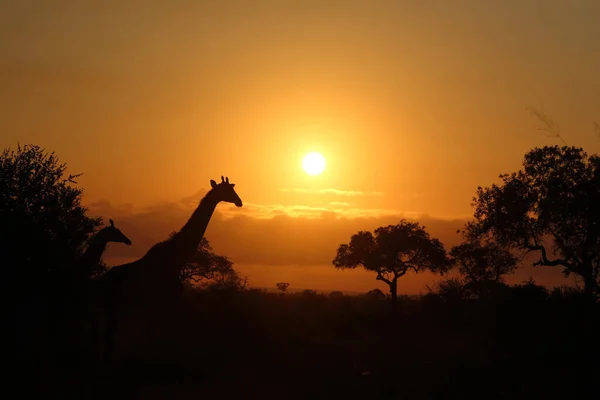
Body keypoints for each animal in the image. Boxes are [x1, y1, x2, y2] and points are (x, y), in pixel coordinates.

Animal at [96, 177, 241, 364]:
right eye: (229, 190)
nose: (239, 201)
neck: (176, 259)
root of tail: (102, 281)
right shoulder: (163, 302)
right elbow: (154, 338)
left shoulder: (163, 304)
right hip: (114, 305)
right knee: (109, 336)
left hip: (113, 306)